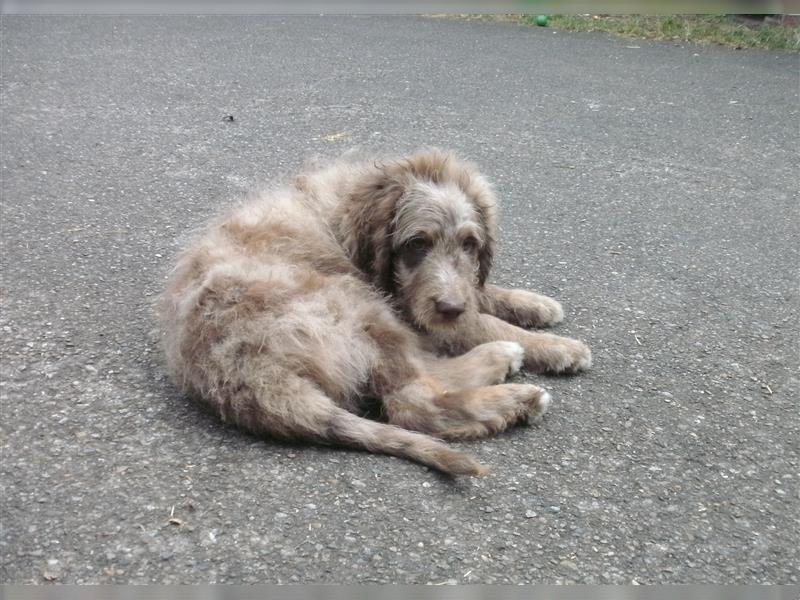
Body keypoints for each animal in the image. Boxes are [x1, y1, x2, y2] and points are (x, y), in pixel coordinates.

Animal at [159, 149, 592, 474]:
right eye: (417, 244)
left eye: (470, 244)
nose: (449, 307)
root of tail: (241, 374)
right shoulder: (407, 302)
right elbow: (478, 322)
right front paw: (556, 347)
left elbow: (478, 292)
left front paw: (534, 303)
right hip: (358, 302)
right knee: (412, 403)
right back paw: (510, 380)